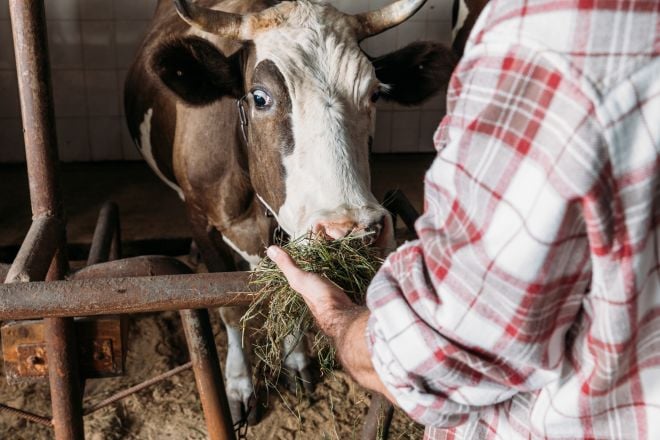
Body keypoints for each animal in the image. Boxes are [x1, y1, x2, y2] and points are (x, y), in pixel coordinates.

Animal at [124, 0, 456, 424]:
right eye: (259, 97)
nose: (351, 232)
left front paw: (296, 360)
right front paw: (238, 383)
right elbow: (227, 308)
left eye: (375, 94)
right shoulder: (200, 220)